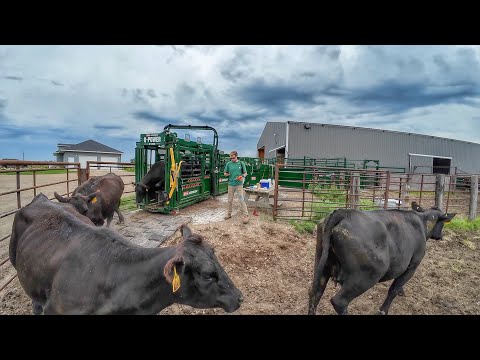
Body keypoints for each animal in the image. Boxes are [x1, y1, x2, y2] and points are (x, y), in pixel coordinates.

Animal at [308, 202, 454, 316]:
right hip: (367, 275)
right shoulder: (412, 265)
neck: (423, 221)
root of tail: (345, 212)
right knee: (339, 301)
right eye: (443, 223)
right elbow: (393, 290)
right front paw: (383, 310)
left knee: (315, 293)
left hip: (322, 266)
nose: (440, 236)